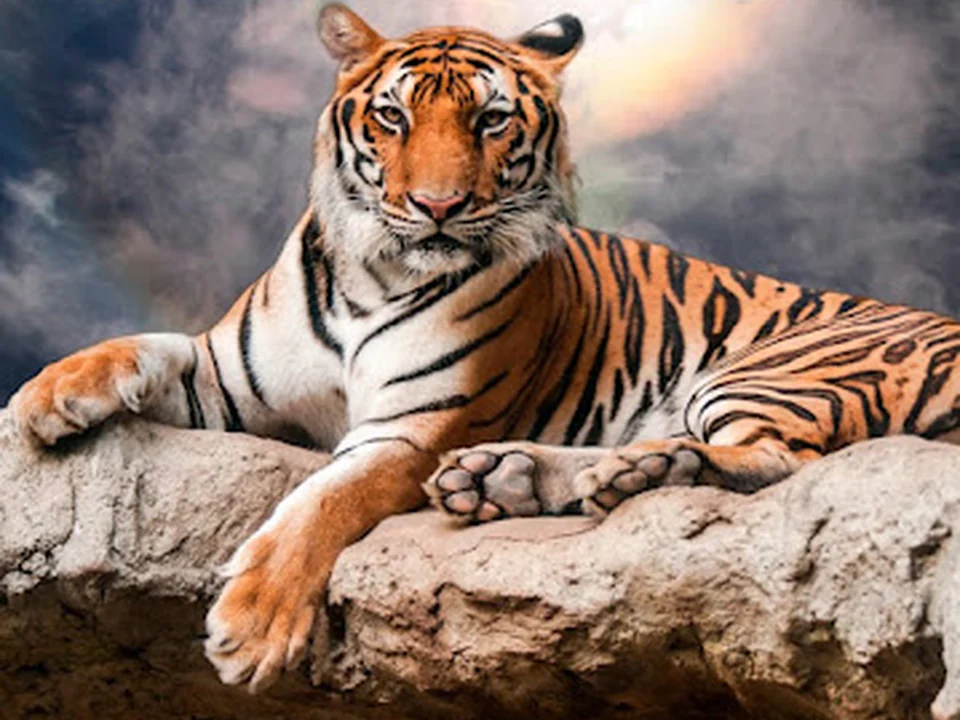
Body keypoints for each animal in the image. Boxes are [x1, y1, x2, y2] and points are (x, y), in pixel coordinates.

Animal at [10, 2, 960, 694]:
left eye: (493, 120)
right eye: (392, 117)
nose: (436, 207)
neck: (371, 273)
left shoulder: (415, 429)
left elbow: (321, 502)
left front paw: (253, 627)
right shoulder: (232, 381)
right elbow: (151, 343)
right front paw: (48, 397)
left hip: (764, 371)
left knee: (779, 461)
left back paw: (633, 471)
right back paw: (515, 478)